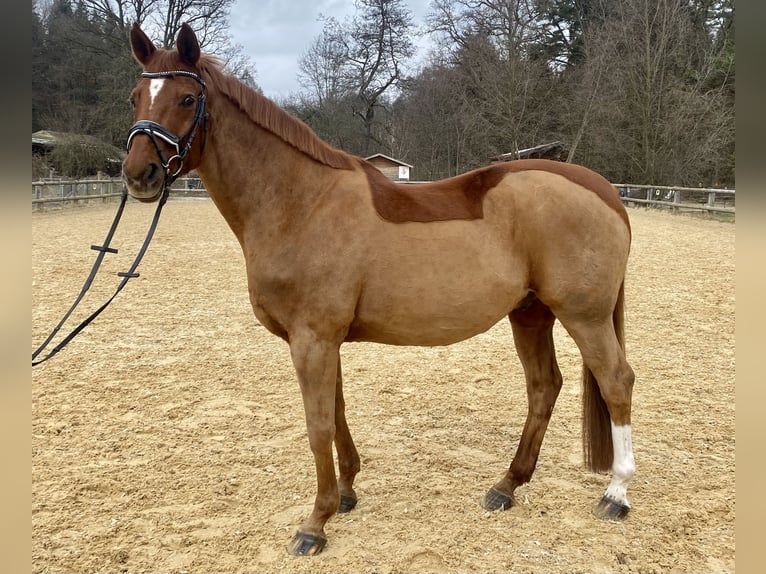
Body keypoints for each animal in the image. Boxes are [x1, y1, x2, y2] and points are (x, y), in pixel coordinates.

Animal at [123, 23, 640, 560]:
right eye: (135, 96)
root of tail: (604, 191)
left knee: (616, 382)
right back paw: (507, 486)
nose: (140, 174)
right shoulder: (322, 341)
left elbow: (317, 425)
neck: (301, 203)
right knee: (543, 387)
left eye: (186, 98)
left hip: (585, 317)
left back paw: (616, 493)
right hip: (531, 313)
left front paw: (315, 523)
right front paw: (346, 492)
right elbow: (336, 411)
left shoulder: (312, 340)